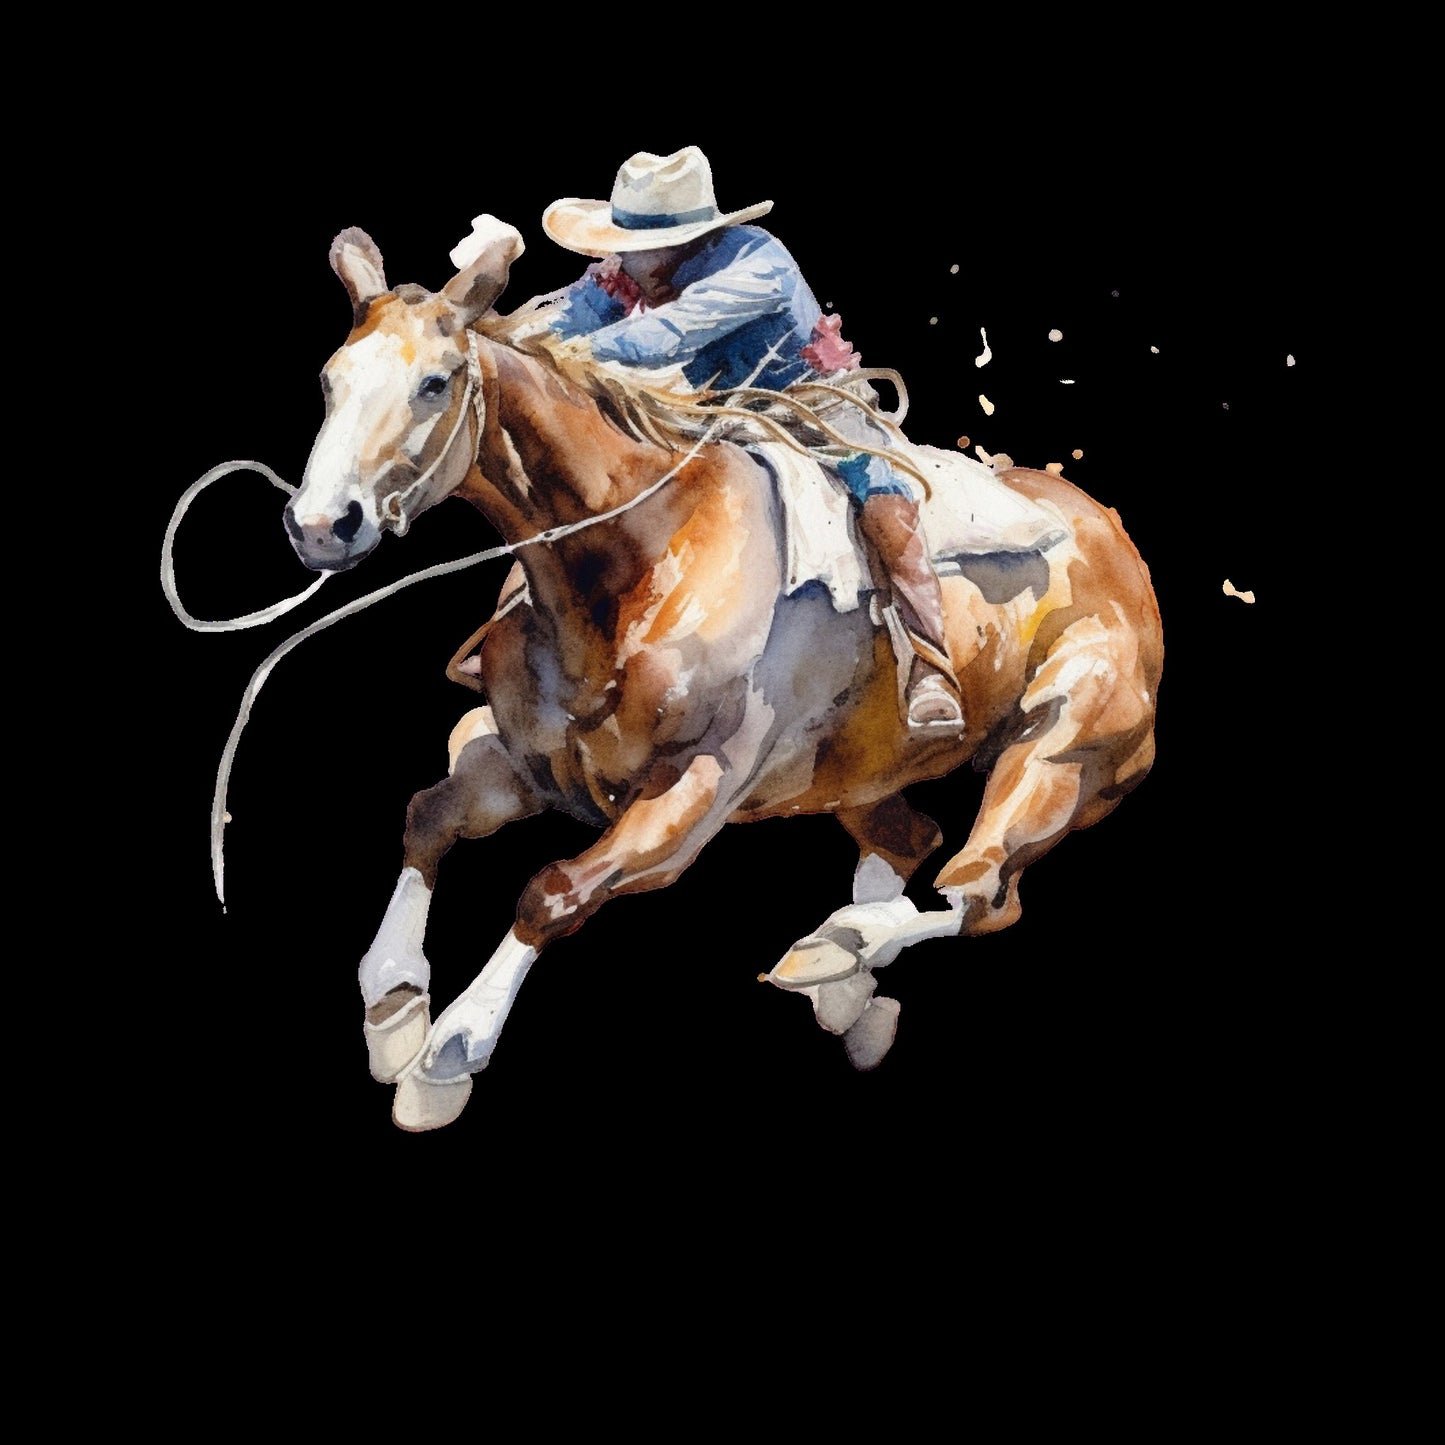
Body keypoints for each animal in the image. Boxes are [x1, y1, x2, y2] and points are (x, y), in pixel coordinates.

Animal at [282, 222, 1163, 1132]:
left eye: (433, 382)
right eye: (329, 378)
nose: (321, 525)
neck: (639, 558)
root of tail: (1107, 532)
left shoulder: (691, 794)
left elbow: (552, 890)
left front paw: (447, 1052)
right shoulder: (520, 760)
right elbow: (428, 816)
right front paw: (393, 1005)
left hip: (1062, 748)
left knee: (980, 891)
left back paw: (840, 947)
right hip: (858, 775)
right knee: (909, 839)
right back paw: (843, 974)